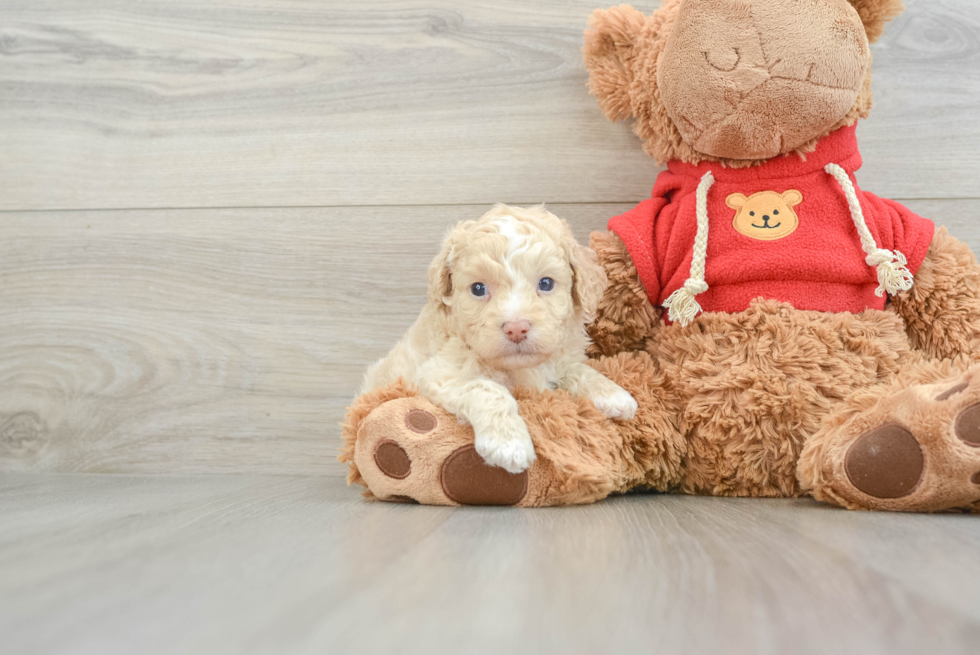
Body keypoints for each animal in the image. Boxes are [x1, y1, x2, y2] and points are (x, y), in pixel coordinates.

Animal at [364, 204, 640, 472]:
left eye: (546, 283)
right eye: (478, 288)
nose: (516, 328)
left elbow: (575, 368)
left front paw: (613, 394)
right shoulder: (438, 373)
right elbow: (487, 388)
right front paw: (509, 442)